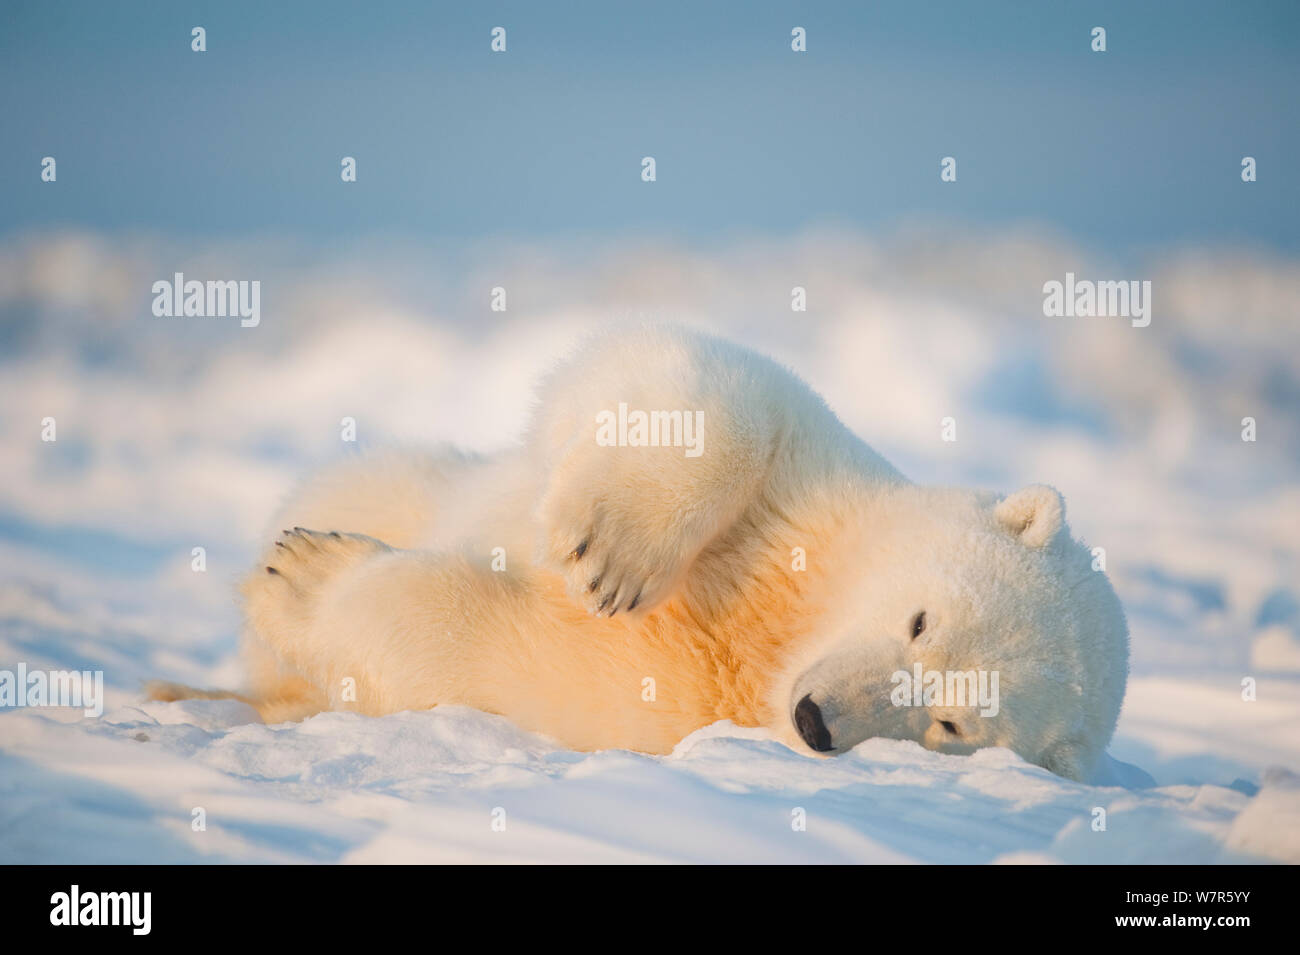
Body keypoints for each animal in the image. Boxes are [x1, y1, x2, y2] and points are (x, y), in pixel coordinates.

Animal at [149, 324, 1128, 779]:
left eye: (951, 725)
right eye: (921, 619)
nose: (816, 719)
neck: (782, 633)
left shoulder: (691, 700)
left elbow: (536, 668)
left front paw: (307, 584)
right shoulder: (818, 482)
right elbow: (691, 379)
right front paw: (609, 552)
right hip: (407, 478)